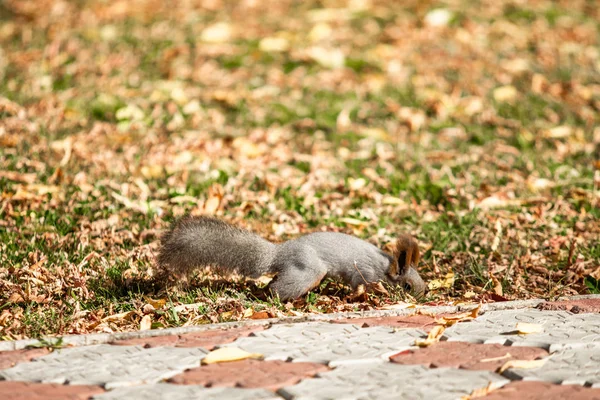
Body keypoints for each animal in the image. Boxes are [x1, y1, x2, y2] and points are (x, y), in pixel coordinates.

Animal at [156, 216, 426, 300]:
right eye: (407, 286)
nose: (423, 297)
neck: (386, 267)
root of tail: (279, 253)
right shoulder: (366, 273)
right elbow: (360, 285)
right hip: (308, 269)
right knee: (277, 288)